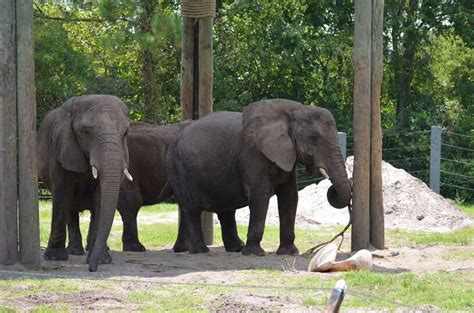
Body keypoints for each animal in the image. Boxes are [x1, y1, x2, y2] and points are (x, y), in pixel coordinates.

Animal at [38, 93, 131, 270]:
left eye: (125, 133)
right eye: (86, 131)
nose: (91, 269)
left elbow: (100, 198)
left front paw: (102, 260)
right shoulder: (60, 148)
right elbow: (62, 193)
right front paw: (54, 258)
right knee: (70, 209)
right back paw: (75, 252)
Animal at [168, 98, 352, 255]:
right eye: (313, 138)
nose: (333, 189)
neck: (294, 109)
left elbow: (290, 196)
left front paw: (289, 253)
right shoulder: (253, 154)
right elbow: (260, 194)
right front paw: (254, 254)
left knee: (226, 210)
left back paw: (236, 249)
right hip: (180, 168)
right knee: (192, 209)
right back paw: (202, 251)